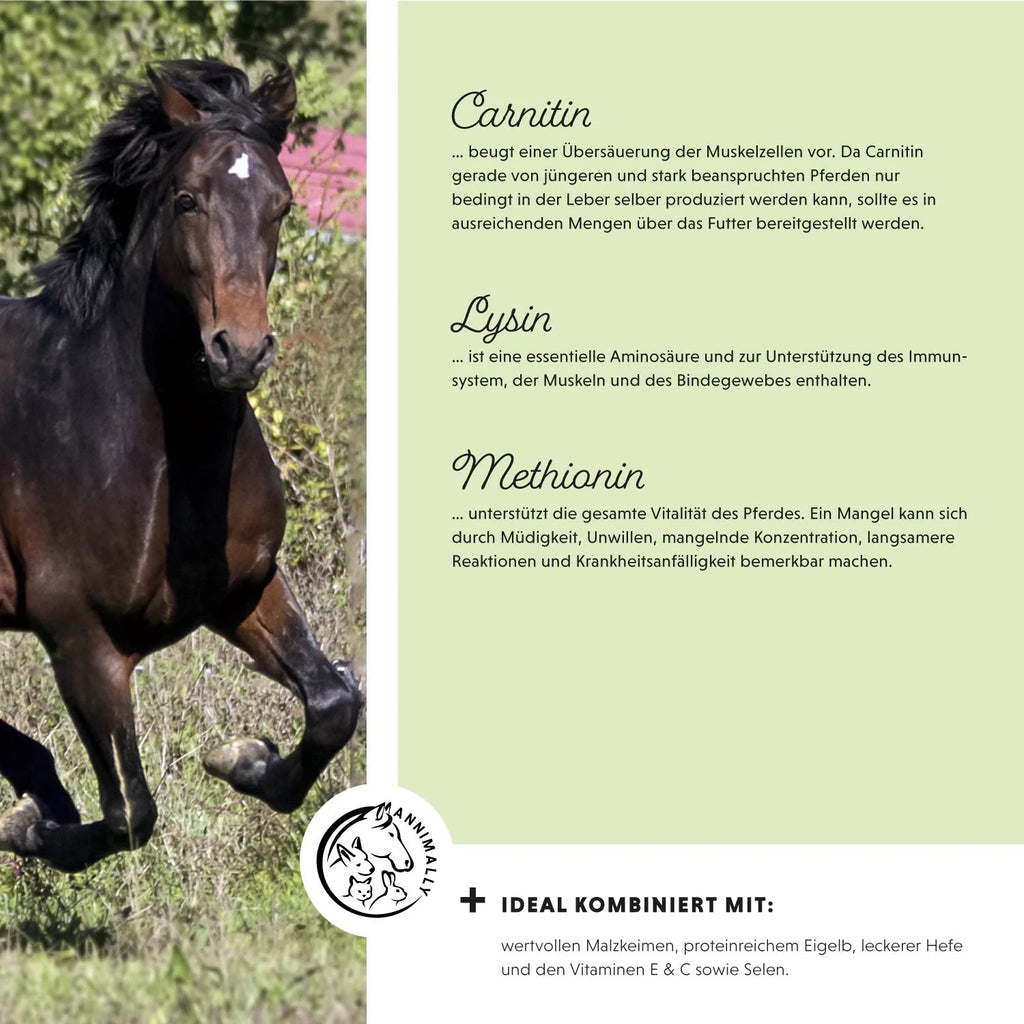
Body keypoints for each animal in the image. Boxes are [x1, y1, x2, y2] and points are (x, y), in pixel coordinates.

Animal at [0, 60, 362, 873]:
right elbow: (130, 812)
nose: (241, 352)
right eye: (187, 199)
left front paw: (244, 758)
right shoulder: (82, 641)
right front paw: (28, 827)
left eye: (282, 205)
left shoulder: (244, 590)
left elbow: (334, 703)